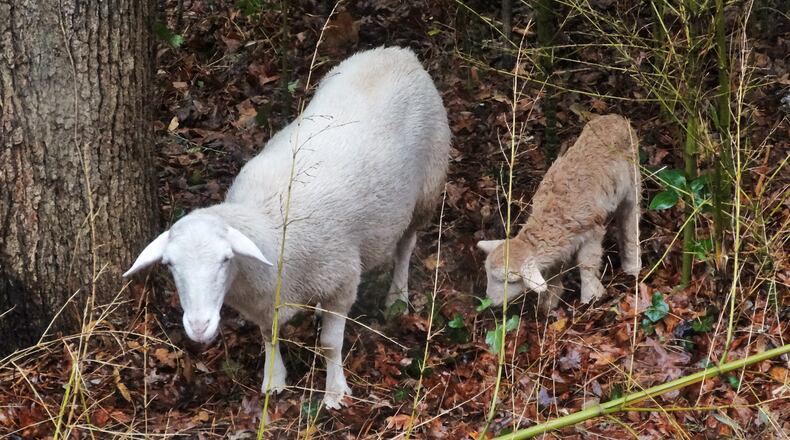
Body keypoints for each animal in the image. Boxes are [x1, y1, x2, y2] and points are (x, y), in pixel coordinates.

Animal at [123, 47, 451, 409]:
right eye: (169, 264)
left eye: (225, 259)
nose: (198, 327)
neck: (268, 226)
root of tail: (397, 53)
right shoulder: (269, 299)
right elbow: (268, 334)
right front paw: (274, 380)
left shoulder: (342, 280)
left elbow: (330, 344)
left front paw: (335, 392)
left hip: (428, 185)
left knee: (406, 245)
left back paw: (398, 297)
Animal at [477, 114, 641, 314]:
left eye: (510, 281)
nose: (489, 301)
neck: (552, 213)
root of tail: (616, 118)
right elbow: (555, 267)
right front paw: (547, 302)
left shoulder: (592, 231)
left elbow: (586, 264)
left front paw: (590, 297)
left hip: (633, 179)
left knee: (631, 220)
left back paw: (633, 265)